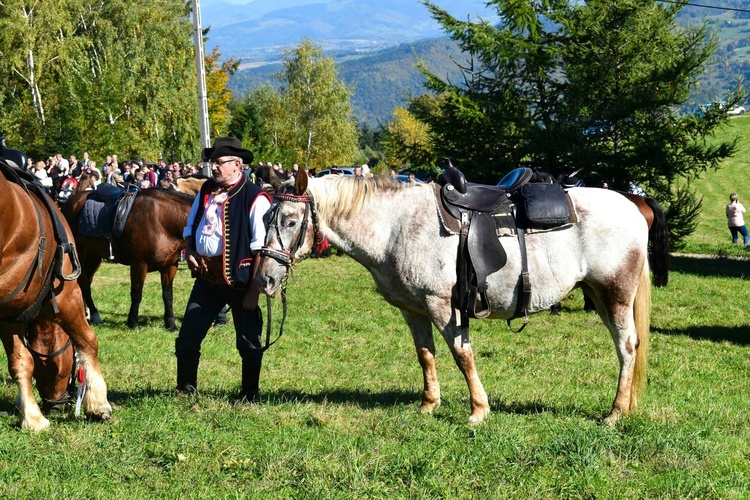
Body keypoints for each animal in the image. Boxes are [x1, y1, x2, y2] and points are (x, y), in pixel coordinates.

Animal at [0, 161, 111, 430]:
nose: (59, 404)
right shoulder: (67, 297)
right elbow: (88, 340)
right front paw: (98, 402)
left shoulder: (10, 308)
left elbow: (20, 360)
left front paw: (31, 416)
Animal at [61, 188, 195, 332]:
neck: (163, 219)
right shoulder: (139, 264)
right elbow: (136, 294)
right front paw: (133, 323)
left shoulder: (170, 266)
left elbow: (168, 296)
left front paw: (171, 324)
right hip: (79, 255)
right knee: (84, 283)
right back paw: (95, 315)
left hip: (94, 256)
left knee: (87, 282)